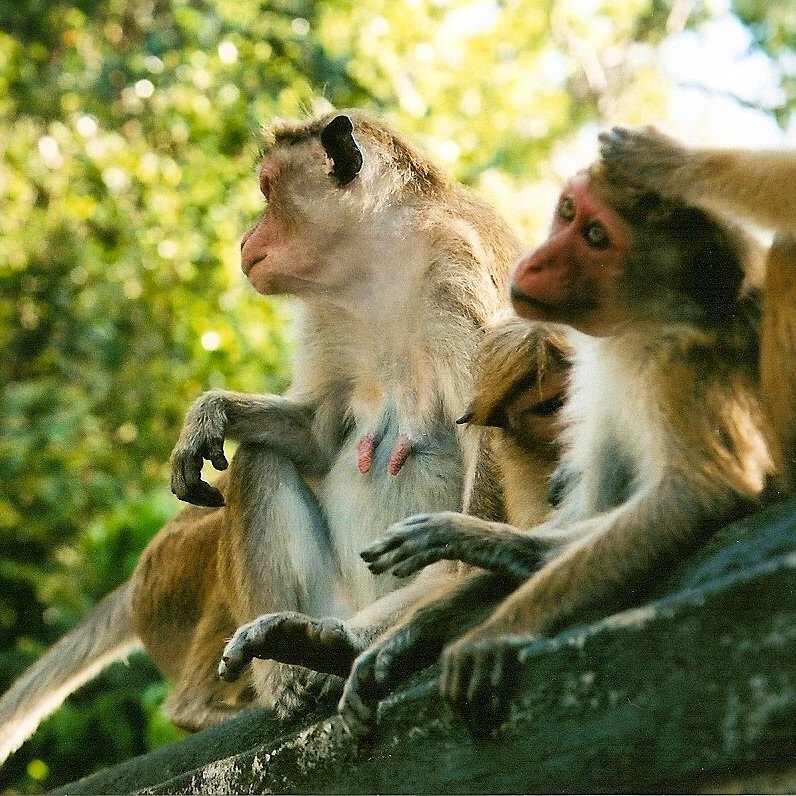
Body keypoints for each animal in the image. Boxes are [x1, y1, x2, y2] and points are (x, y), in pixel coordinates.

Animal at [0, 109, 524, 766]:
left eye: (268, 191)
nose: (246, 239)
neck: (378, 268)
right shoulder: (326, 312)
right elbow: (318, 434)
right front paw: (212, 414)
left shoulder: (457, 269)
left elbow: (487, 433)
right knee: (259, 458)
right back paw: (289, 666)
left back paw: (339, 644)